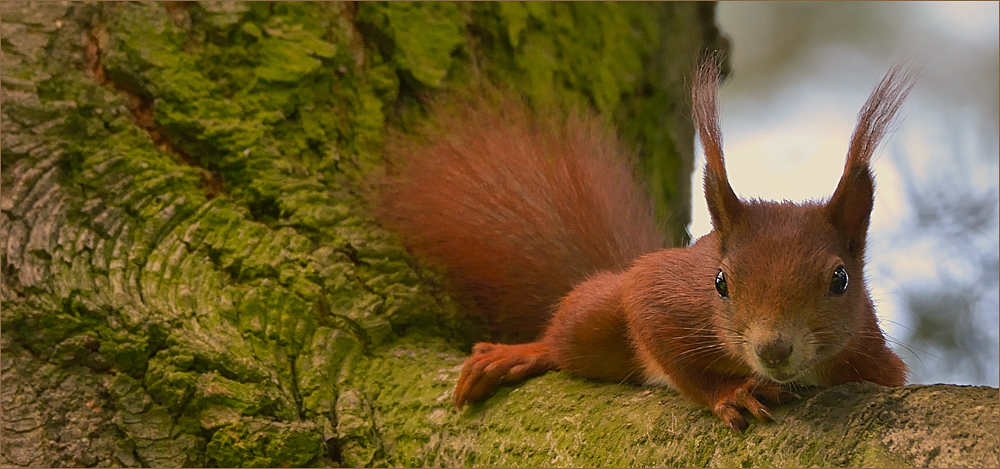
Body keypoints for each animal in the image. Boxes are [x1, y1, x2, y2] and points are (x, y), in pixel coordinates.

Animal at [378, 60, 916, 434]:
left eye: (840, 279)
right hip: (594, 317)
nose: (774, 349)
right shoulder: (663, 293)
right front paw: (731, 393)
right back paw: (519, 354)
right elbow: (661, 331)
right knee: (566, 339)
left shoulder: (875, 362)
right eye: (720, 282)